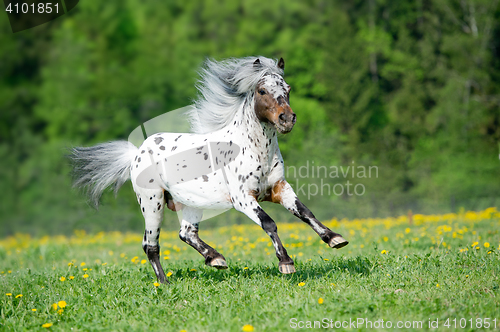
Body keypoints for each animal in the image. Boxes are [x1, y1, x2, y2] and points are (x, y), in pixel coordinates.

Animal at [71, 56, 348, 282]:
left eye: (288, 89)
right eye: (262, 90)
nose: (287, 119)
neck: (254, 149)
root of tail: (137, 153)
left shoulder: (279, 189)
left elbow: (305, 212)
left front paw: (335, 238)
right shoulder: (243, 199)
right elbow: (269, 223)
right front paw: (286, 263)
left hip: (191, 203)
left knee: (186, 233)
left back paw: (216, 259)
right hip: (152, 203)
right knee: (150, 245)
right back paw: (165, 284)